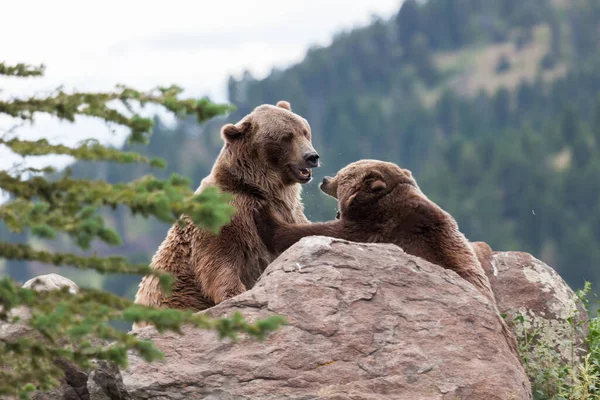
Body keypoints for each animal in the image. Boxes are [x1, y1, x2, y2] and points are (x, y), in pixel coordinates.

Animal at [131, 99, 318, 324]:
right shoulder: (227, 219)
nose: (311, 156)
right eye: (286, 137)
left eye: (304, 131)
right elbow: (219, 263)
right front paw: (235, 294)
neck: (260, 188)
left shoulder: (291, 213)